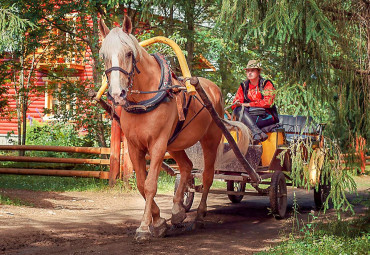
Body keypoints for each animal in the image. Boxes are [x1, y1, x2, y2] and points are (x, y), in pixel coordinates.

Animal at [98, 15, 251, 241]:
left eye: (128, 53)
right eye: (104, 55)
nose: (117, 94)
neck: (144, 99)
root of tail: (213, 89)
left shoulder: (158, 145)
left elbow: (151, 184)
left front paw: (144, 227)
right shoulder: (134, 147)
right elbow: (142, 185)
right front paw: (160, 222)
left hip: (209, 140)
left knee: (207, 176)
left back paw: (199, 216)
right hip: (176, 144)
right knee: (187, 167)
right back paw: (178, 212)